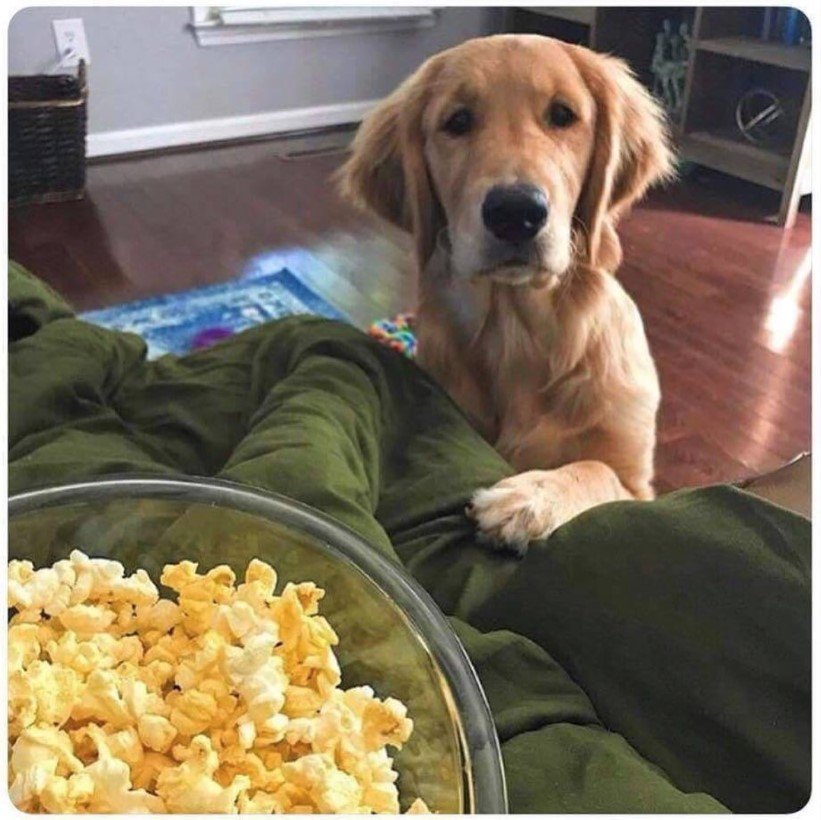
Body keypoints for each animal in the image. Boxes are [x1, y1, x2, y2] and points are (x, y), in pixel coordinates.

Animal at [338, 35, 672, 556]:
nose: (516, 212)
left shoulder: (638, 484)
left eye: (563, 115)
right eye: (457, 122)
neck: (518, 332)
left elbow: (595, 467)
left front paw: (531, 496)